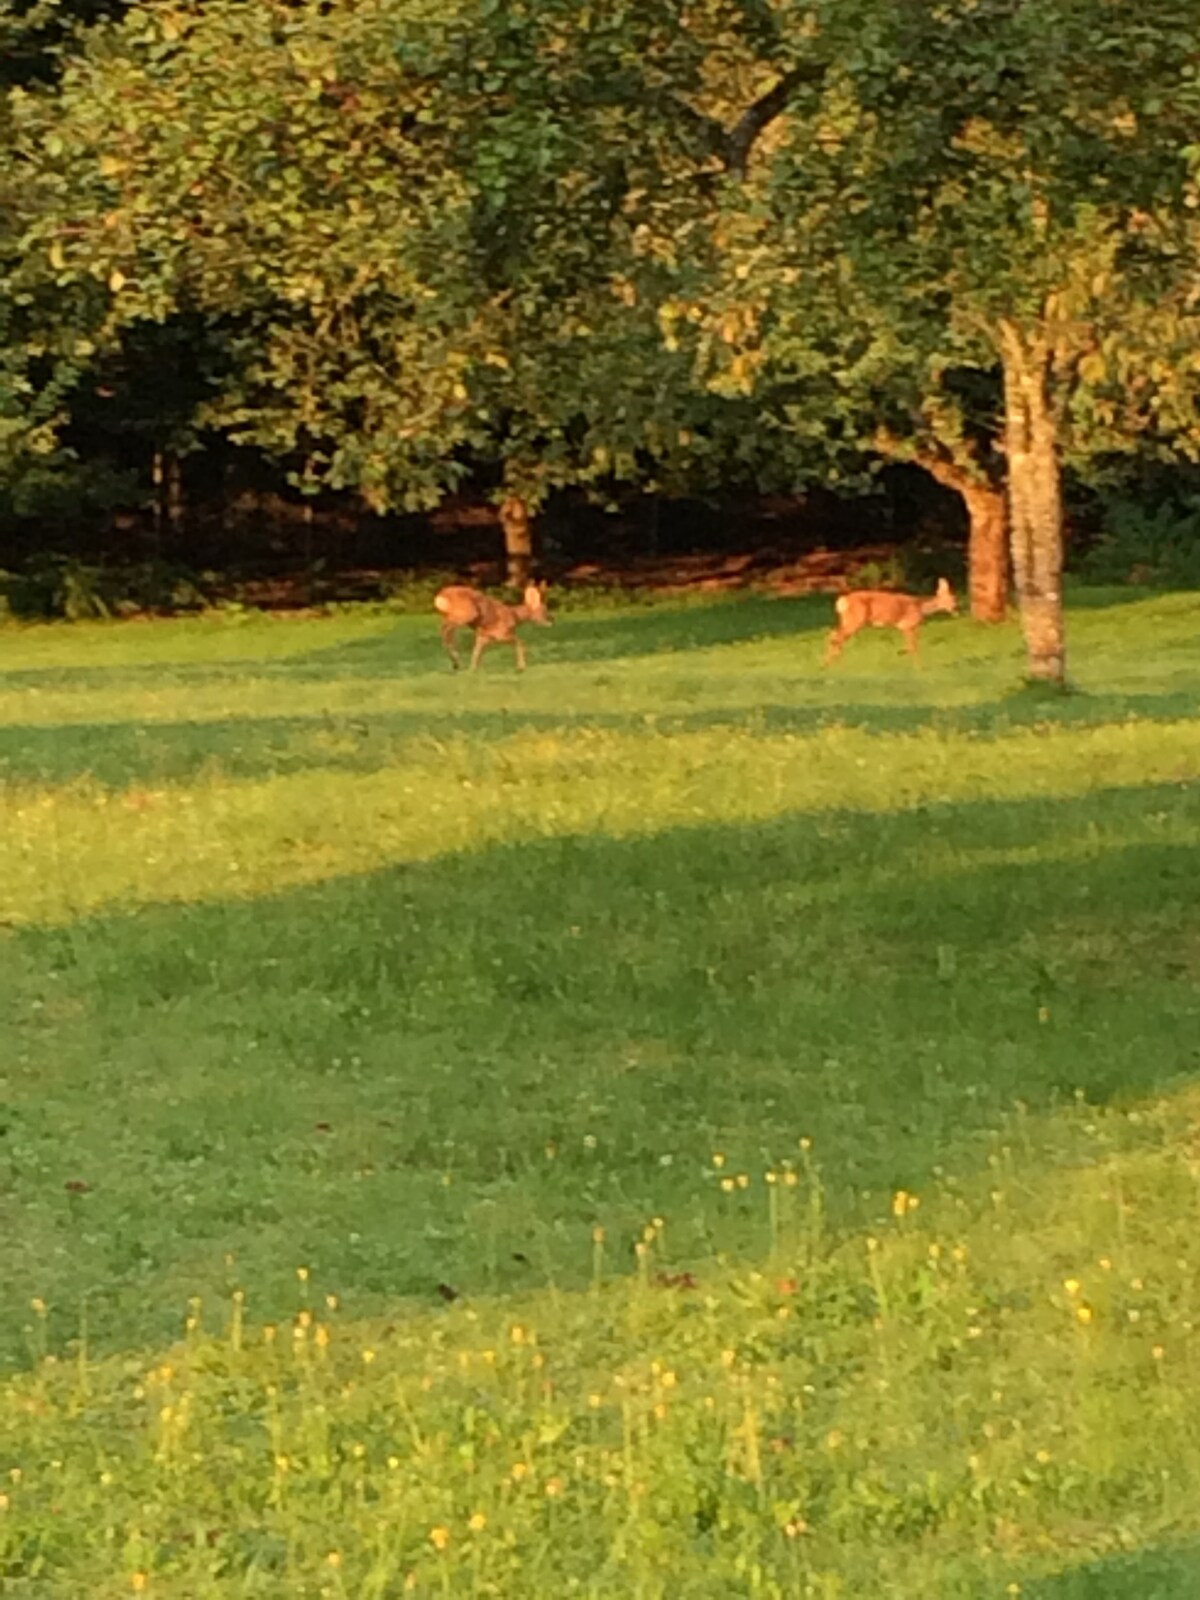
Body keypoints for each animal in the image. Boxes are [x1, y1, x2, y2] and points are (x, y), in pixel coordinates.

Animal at [825, 576, 960, 662]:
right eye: (952, 599)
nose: (957, 609)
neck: (920, 607)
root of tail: (843, 600)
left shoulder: (906, 628)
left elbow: (911, 646)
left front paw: (901, 653)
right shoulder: (908, 625)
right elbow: (913, 647)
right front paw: (919, 668)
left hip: (846, 620)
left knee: (833, 634)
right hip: (855, 620)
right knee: (836, 637)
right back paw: (830, 663)